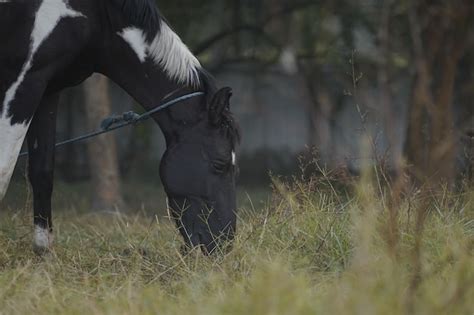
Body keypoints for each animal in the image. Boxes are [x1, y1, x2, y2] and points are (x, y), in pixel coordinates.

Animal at [0, 0, 241, 256]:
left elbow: (42, 171)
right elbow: (4, 171)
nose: (224, 243)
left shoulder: (48, 89)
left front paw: (43, 252)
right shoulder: (24, 81)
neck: (97, 16)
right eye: (220, 164)